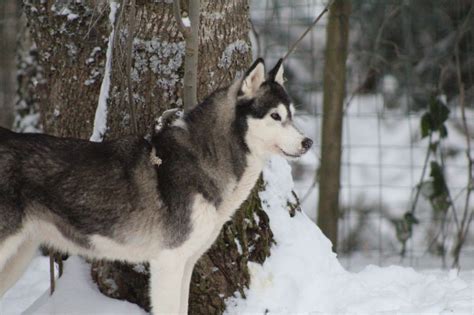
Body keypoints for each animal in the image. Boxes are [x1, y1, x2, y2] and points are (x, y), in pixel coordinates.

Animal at [0, 58, 312, 314]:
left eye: (291, 115)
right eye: (275, 116)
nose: (308, 142)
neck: (203, 158)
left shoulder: (186, 263)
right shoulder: (168, 263)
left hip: (18, 257)